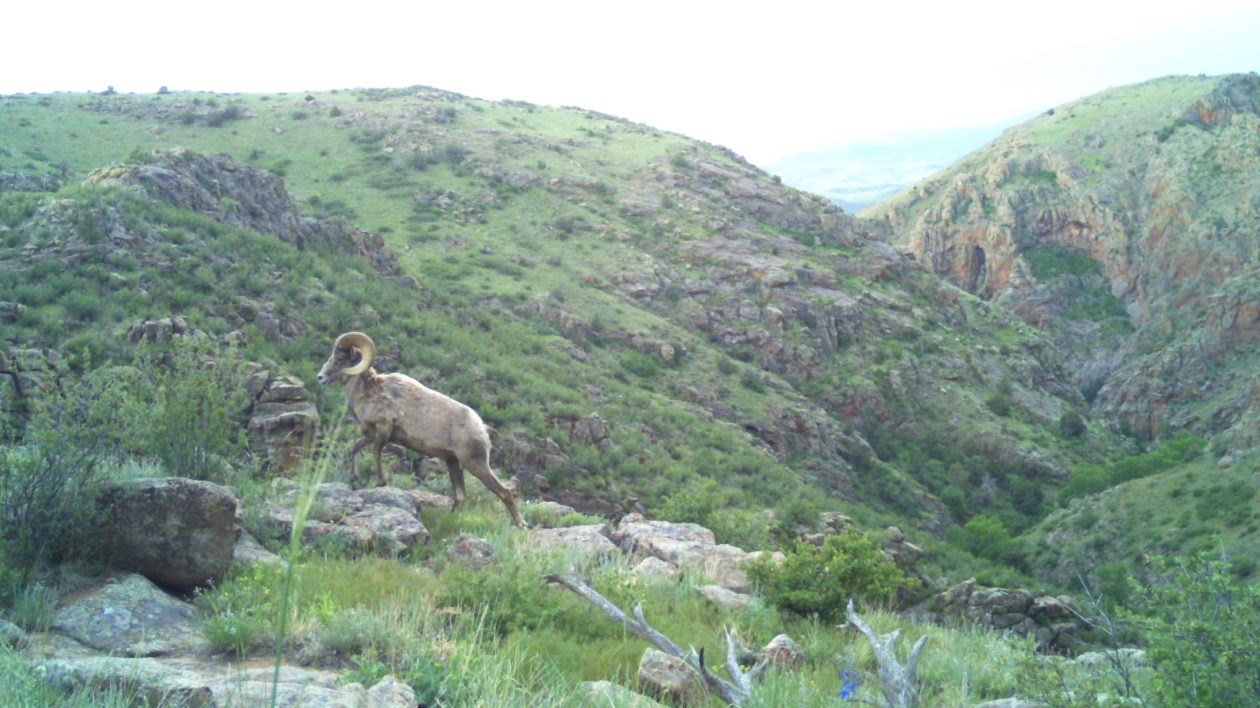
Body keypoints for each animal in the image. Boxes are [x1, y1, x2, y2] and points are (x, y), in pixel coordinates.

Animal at [320, 330, 526, 524]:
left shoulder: (383, 430)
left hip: (475, 464)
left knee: (504, 491)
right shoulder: (371, 435)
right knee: (460, 496)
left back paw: (521, 524)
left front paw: (380, 483)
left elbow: (375, 453)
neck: (370, 391)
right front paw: (354, 480)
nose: (320, 377)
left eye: (339, 359)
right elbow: (354, 449)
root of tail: (482, 428)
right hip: (453, 463)